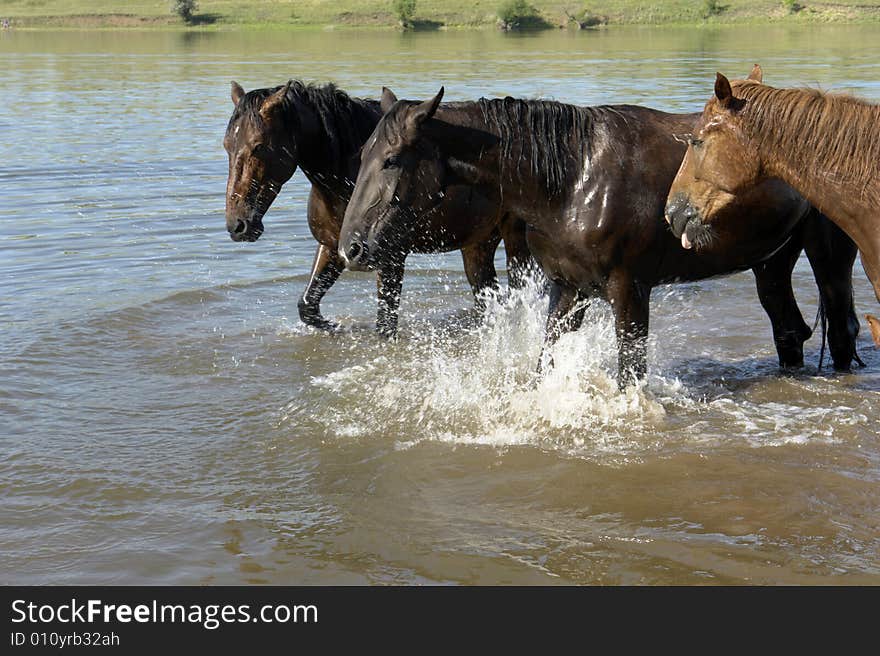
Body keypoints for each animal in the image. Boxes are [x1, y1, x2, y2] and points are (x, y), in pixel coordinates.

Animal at [223, 80, 532, 338]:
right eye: (227, 145)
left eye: (258, 146)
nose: (238, 225)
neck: (344, 177)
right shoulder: (334, 247)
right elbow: (308, 305)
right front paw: (339, 329)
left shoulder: (390, 258)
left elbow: (385, 324)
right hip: (478, 245)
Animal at [338, 86, 860, 384]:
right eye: (361, 155)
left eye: (391, 160)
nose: (351, 248)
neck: (573, 179)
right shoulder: (568, 291)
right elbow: (544, 364)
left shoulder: (629, 291)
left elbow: (631, 372)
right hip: (772, 260)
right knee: (788, 328)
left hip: (829, 255)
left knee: (842, 329)